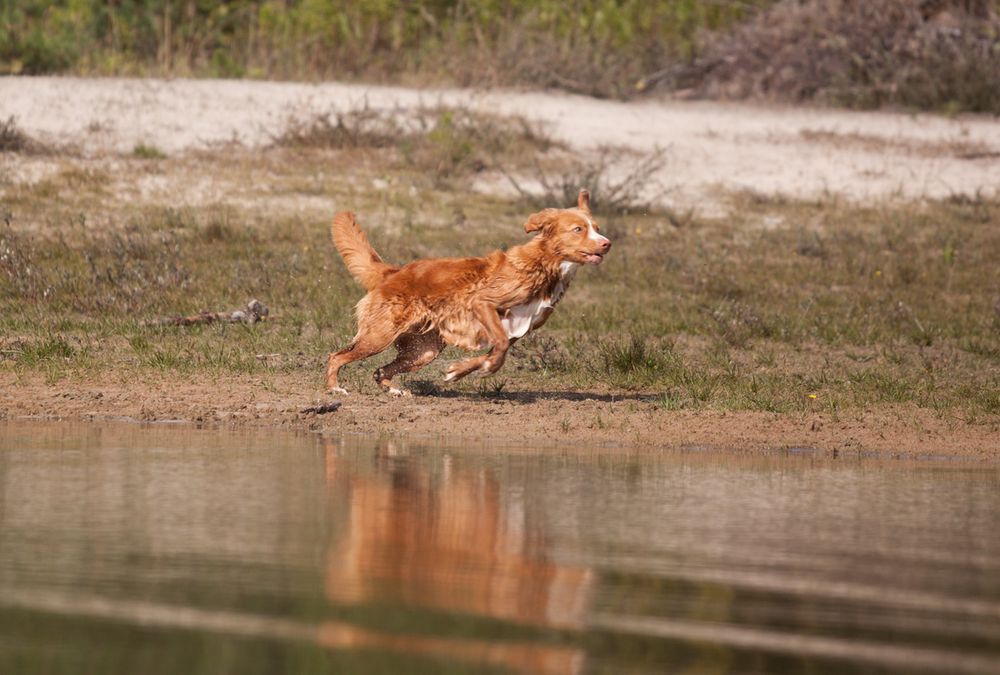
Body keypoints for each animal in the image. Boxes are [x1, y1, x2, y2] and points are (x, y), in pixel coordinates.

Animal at [328, 189, 608, 396]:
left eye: (596, 227)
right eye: (578, 229)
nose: (607, 244)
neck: (544, 264)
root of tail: (393, 272)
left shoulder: (519, 329)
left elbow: (496, 351)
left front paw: (459, 371)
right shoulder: (483, 304)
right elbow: (499, 346)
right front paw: (483, 368)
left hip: (424, 351)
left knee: (381, 370)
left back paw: (393, 390)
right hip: (379, 336)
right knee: (336, 356)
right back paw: (334, 388)